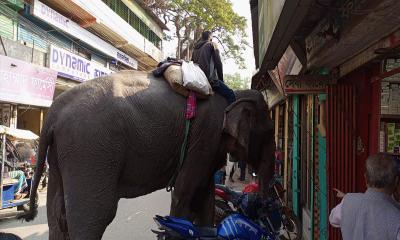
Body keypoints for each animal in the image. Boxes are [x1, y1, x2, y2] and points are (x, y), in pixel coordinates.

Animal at [23, 71, 276, 240]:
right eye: (269, 131)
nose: (265, 206)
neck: (232, 96)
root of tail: (54, 112)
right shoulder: (205, 136)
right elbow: (184, 193)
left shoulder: (207, 146)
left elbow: (206, 196)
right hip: (89, 148)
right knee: (95, 216)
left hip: (63, 154)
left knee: (57, 215)